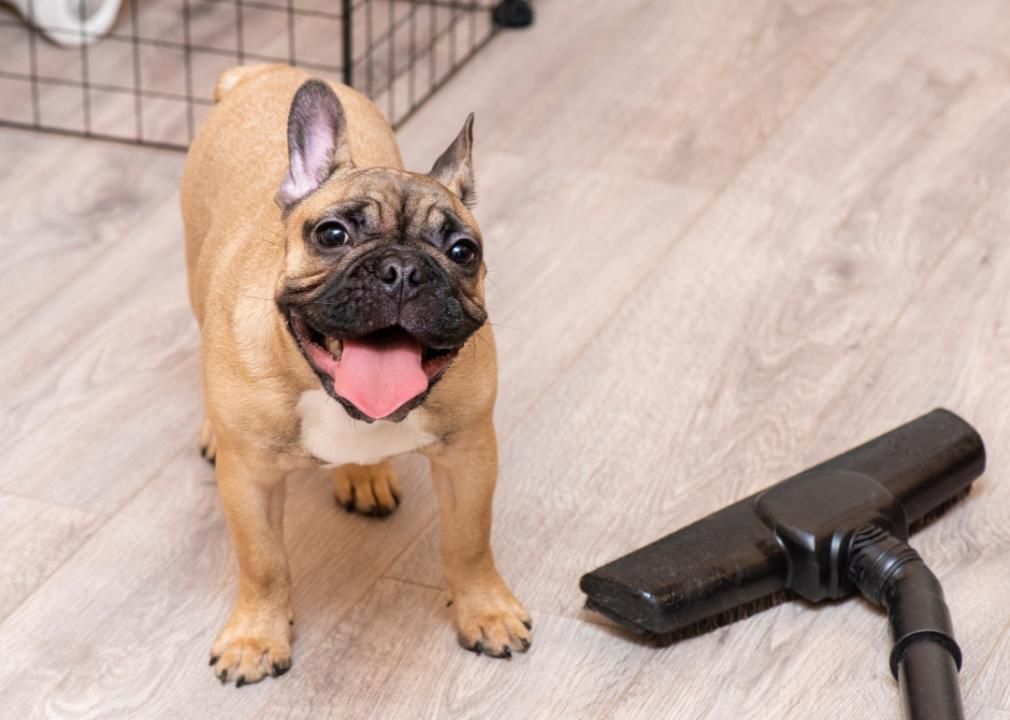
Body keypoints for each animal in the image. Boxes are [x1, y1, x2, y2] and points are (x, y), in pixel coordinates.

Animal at [182, 63, 533, 686]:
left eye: (463, 251)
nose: (403, 270)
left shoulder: (469, 454)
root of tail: (267, 72)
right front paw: (255, 637)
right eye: (332, 235)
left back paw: (364, 474)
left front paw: (486, 612)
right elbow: (263, 561)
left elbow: (469, 541)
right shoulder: (249, 481)